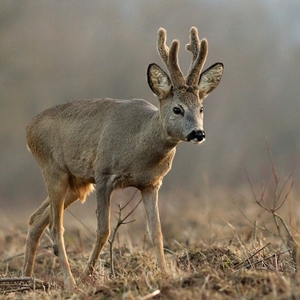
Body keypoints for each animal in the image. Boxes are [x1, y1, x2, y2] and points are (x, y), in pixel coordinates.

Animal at [23, 27, 224, 288]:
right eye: (177, 109)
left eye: (201, 108)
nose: (198, 133)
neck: (139, 148)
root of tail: (29, 129)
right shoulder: (104, 174)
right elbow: (103, 231)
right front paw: (87, 275)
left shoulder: (151, 183)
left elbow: (157, 231)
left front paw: (165, 275)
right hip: (53, 169)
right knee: (56, 227)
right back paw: (71, 282)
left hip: (76, 183)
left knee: (36, 220)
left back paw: (26, 278)